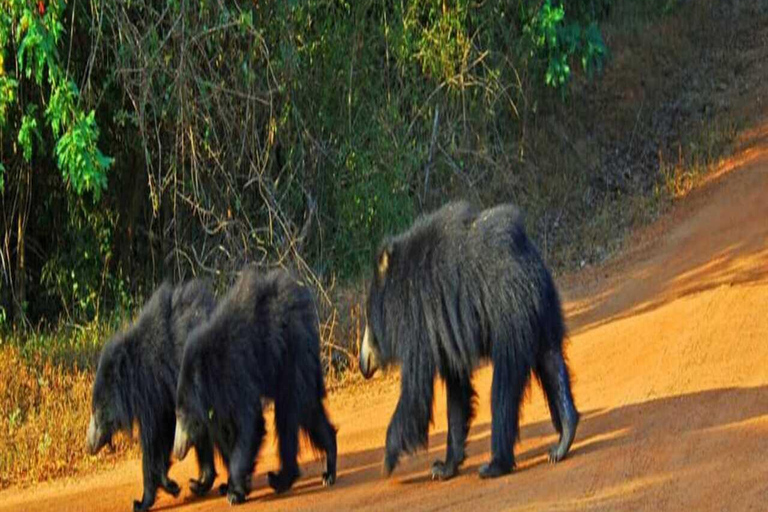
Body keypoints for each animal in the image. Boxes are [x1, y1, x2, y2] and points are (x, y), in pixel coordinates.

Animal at [88, 280, 218, 512]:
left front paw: (142, 501)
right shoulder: (165, 398)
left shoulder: (152, 392)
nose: (89, 446)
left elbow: (153, 441)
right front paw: (177, 485)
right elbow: (167, 436)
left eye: (97, 411)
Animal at [176, 268, 338, 504]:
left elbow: (250, 424)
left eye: (182, 417)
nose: (176, 451)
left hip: (293, 356)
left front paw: (234, 493)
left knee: (290, 412)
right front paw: (232, 486)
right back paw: (320, 471)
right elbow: (226, 433)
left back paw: (289, 478)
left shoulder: (237, 374)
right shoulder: (220, 400)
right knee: (308, 409)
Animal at [360, 201, 576, 480]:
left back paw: (494, 465)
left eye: (368, 320)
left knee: (504, 386)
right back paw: (563, 440)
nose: (362, 363)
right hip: (543, 310)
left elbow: (416, 393)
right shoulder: (444, 335)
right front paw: (443, 467)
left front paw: (387, 462)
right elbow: (457, 394)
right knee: (551, 360)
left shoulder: (417, 324)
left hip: (509, 316)